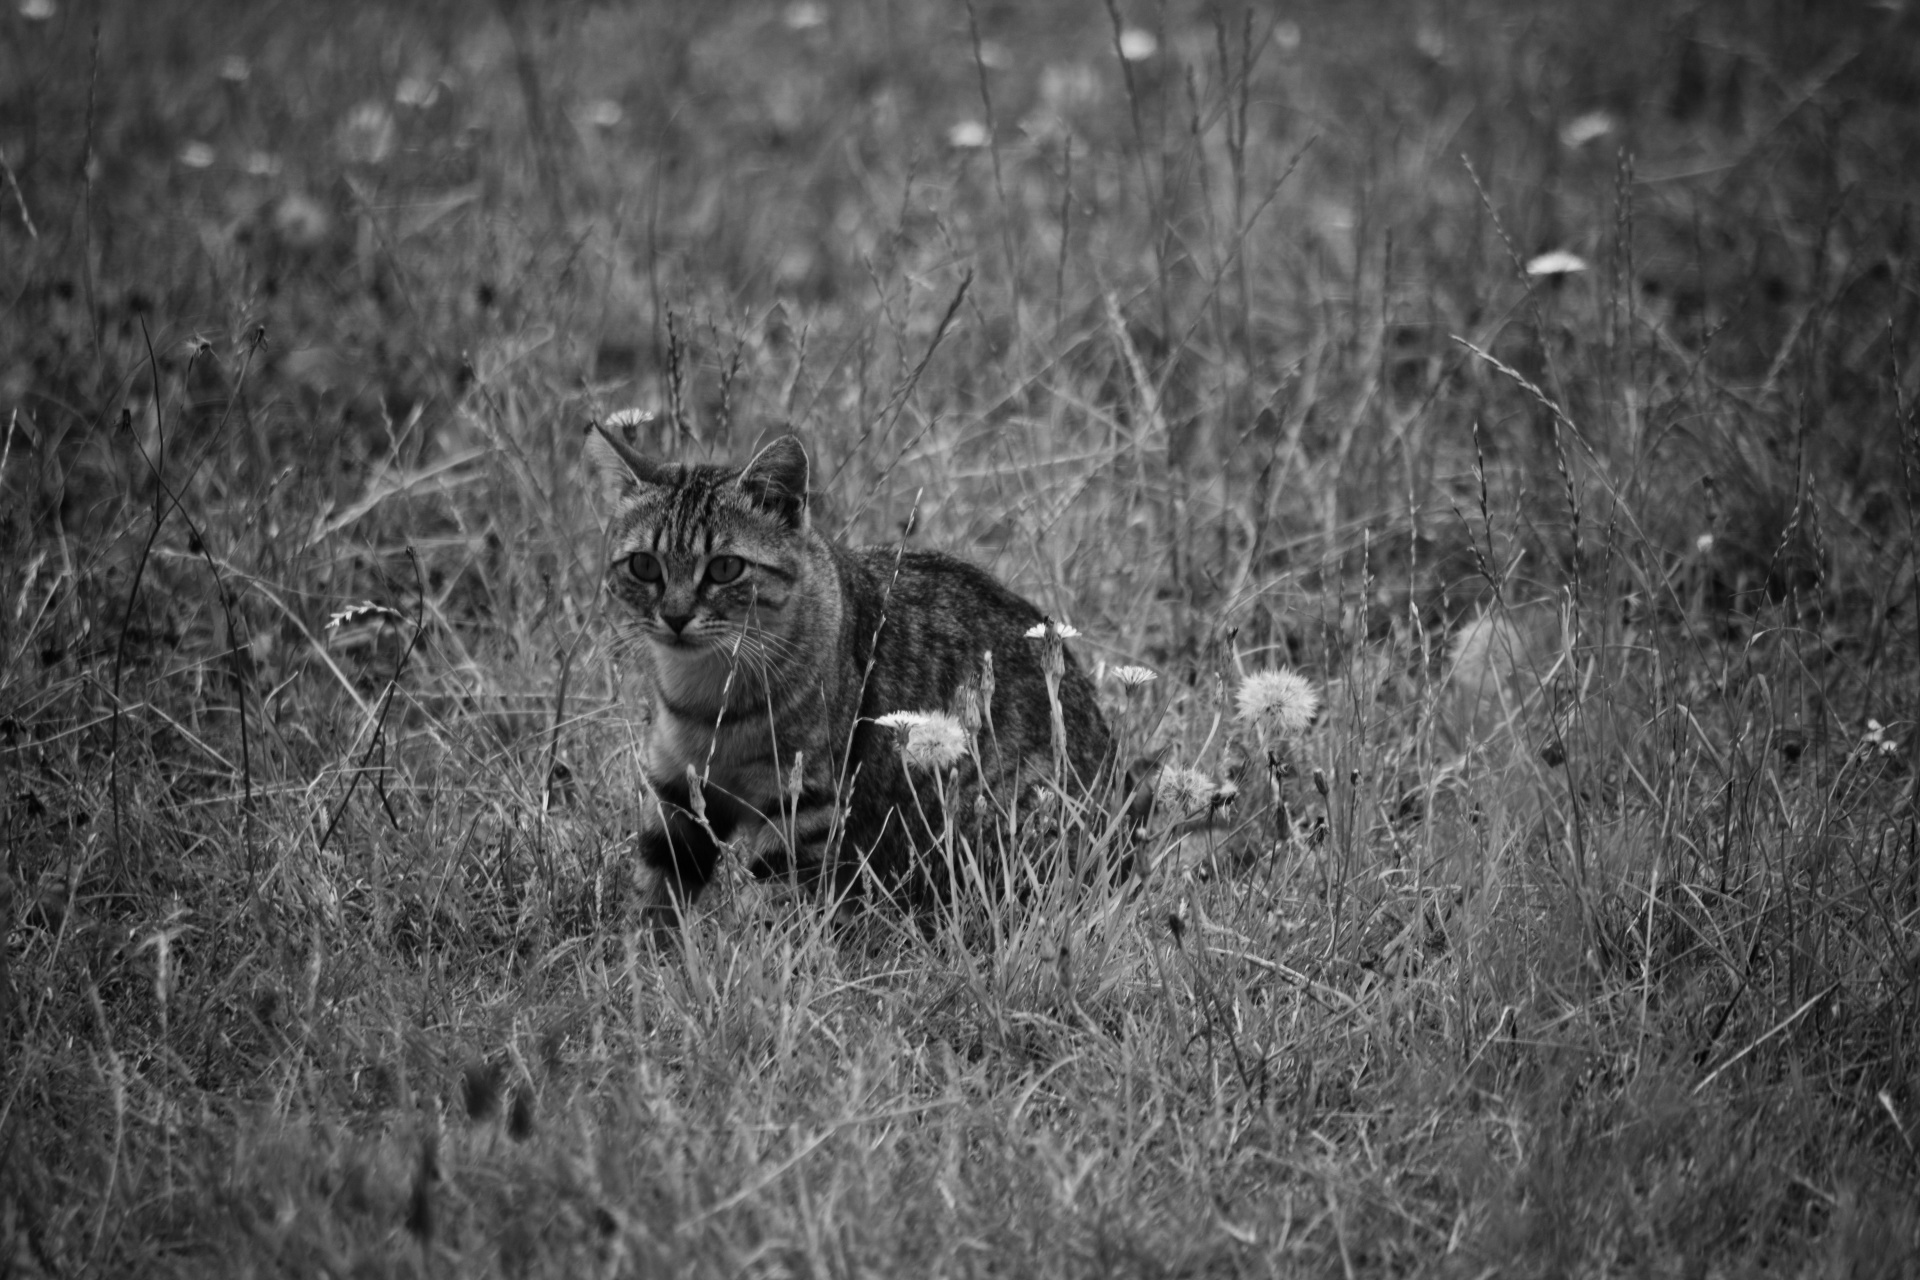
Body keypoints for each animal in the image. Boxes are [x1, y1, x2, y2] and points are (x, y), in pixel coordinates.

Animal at [591, 410, 1121, 921]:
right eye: (644, 565)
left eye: (724, 568)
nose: (675, 616)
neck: (707, 694)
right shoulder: (677, 794)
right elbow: (654, 904)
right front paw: (643, 952)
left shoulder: (803, 805)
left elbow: (780, 918)